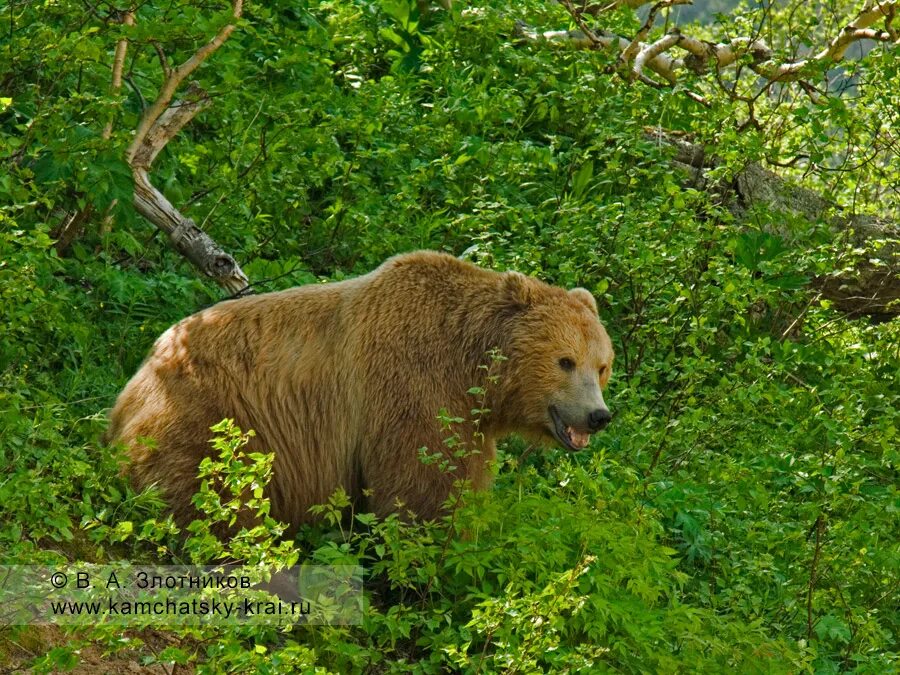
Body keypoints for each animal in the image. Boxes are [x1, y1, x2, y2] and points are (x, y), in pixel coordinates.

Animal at [103, 251, 612, 532]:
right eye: (565, 361)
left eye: (602, 366)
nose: (598, 415)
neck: (469, 365)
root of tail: (133, 385)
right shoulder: (411, 384)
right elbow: (423, 487)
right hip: (213, 417)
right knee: (216, 497)